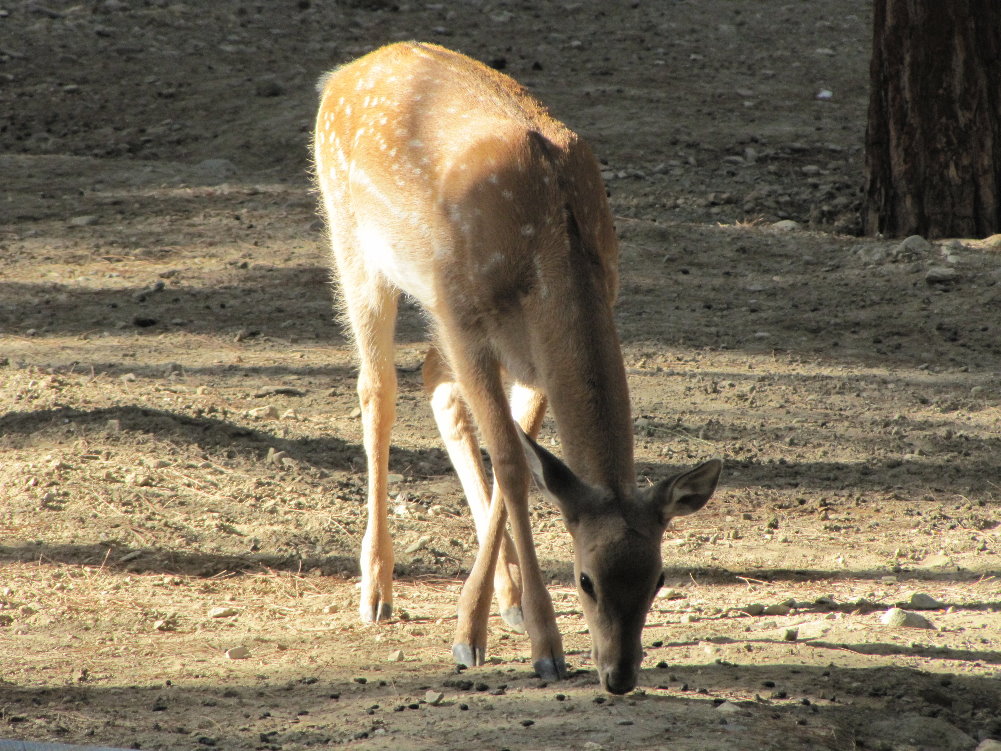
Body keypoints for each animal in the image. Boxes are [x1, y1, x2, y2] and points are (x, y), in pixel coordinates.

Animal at [313, 41, 722, 695]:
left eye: (659, 578)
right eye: (585, 580)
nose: (619, 675)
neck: (552, 242)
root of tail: (342, 74)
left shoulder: (531, 353)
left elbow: (524, 454)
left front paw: (496, 615)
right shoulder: (464, 314)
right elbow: (509, 459)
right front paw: (530, 646)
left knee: (436, 382)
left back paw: (498, 595)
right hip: (355, 244)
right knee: (378, 389)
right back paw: (376, 590)